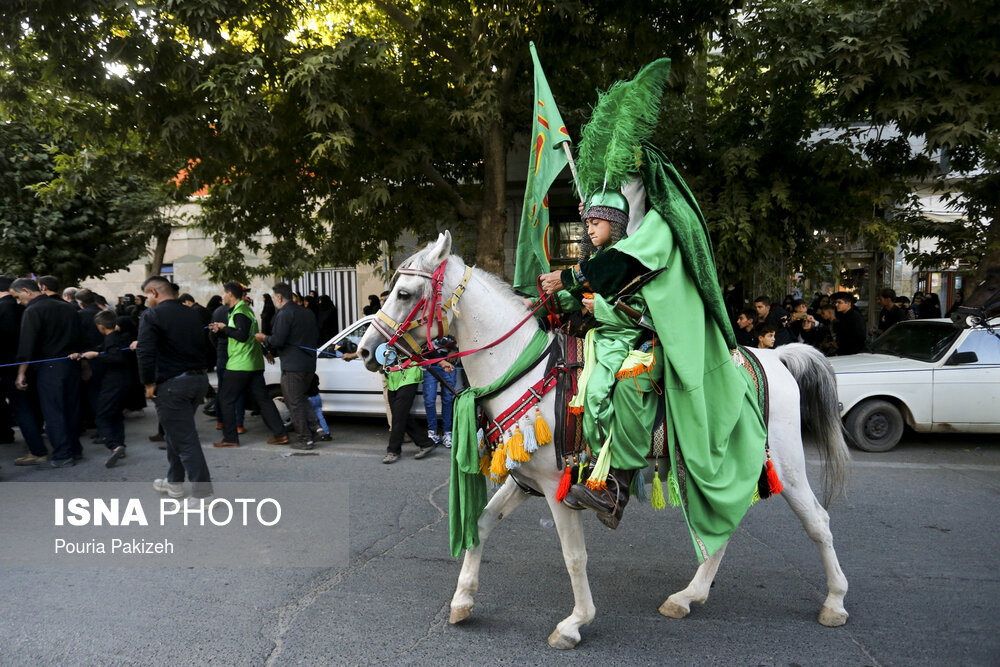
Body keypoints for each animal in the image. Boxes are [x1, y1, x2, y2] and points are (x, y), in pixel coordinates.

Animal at [360, 232, 852, 648]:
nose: (365, 350)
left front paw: (574, 624)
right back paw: (688, 596)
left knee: (820, 522)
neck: (525, 369)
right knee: (723, 526)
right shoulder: (525, 481)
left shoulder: (558, 488)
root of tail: (775, 356)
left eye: (405, 294)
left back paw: (834, 602)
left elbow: (573, 556)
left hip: (785, 466)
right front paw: (462, 601)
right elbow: (480, 526)